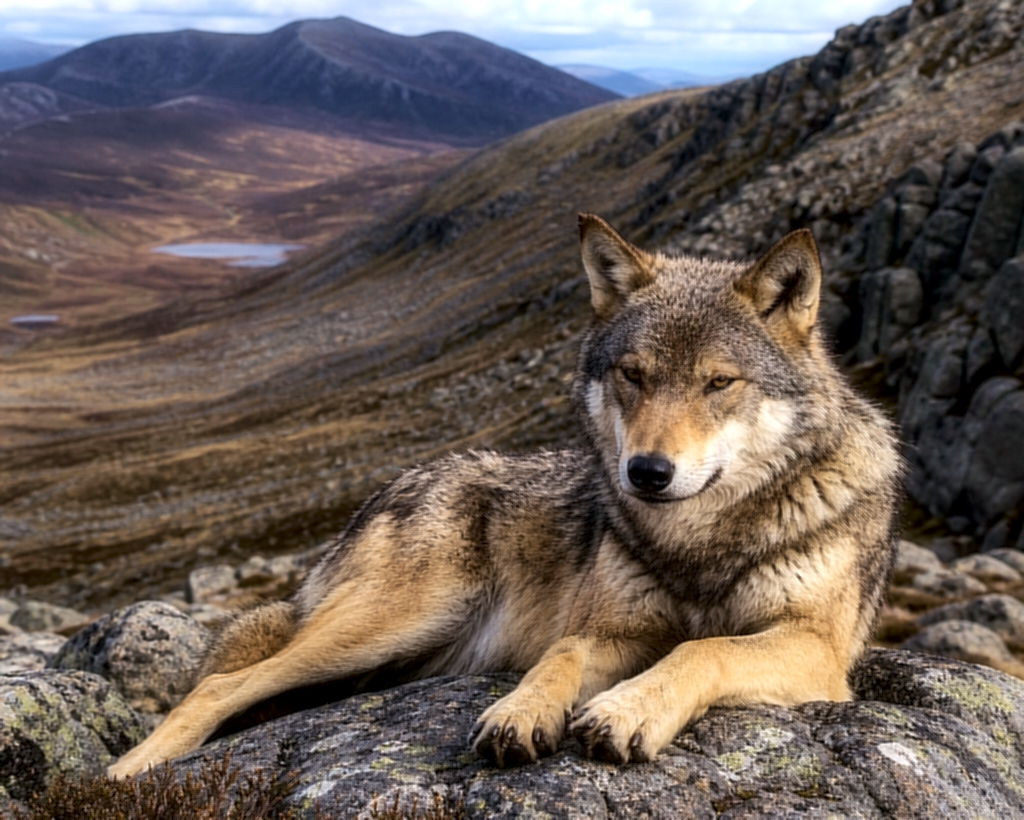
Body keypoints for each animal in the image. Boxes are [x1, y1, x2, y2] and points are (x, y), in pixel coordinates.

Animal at [109, 214, 902, 777]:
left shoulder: (814, 650)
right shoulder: (608, 629)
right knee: (220, 684)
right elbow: (562, 657)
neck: (697, 541)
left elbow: (702, 651)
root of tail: (389, 488)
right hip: (395, 621)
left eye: (718, 382)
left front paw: (627, 711)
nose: (646, 472)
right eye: (634, 375)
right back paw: (128, 770)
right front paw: (519, 710)